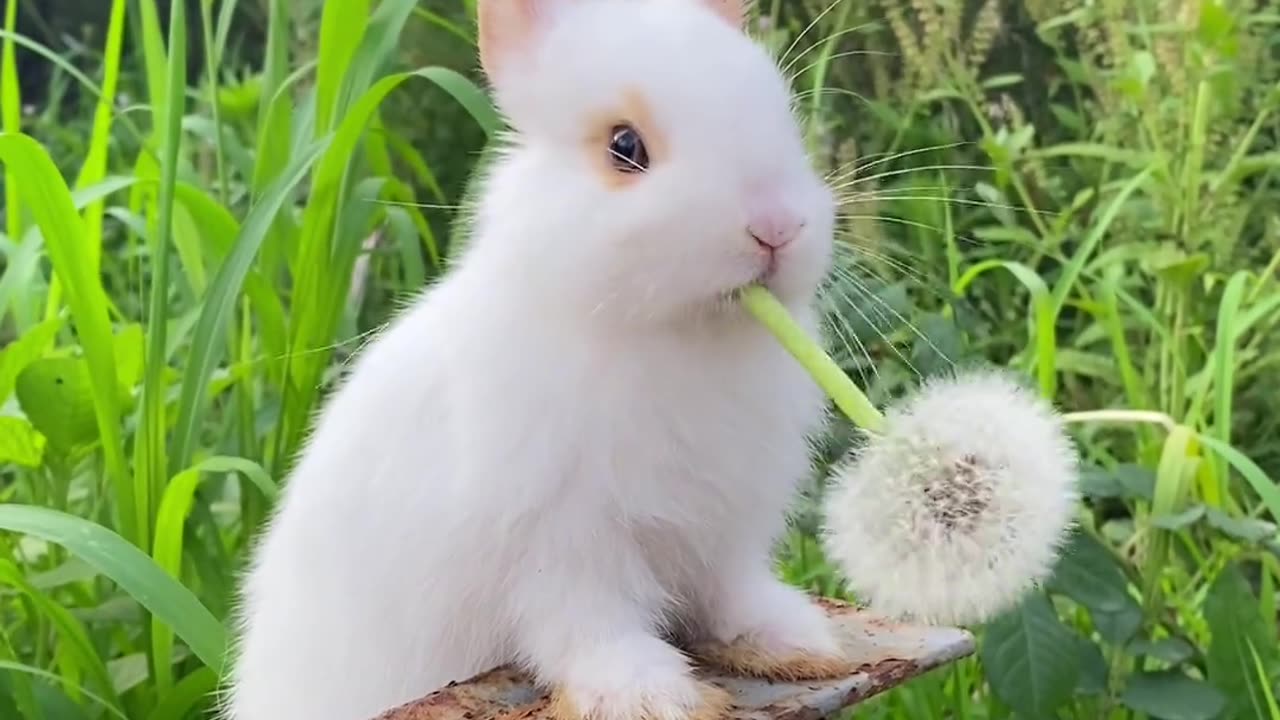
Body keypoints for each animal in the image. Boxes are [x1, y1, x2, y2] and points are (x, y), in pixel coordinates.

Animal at [227, 1, 849, 717]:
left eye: (783, 114)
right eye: (625, 147)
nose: (776, 227)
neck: (678, 336)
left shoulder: (724, 534)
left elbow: (731, 599)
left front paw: (795, 642)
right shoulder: (563, 545)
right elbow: (589, 626)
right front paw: (649, 695)